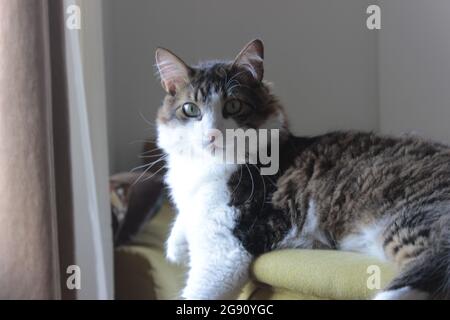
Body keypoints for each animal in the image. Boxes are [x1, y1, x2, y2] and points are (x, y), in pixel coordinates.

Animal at [154, 40, 450, 300]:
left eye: (233, 105)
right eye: (190, 109)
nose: (212, 134)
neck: (203, 167)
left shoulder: (226, 249)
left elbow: (197, 290)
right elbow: (184, 215)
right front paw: (175, 245)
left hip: (414, 216)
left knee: (435, 260)